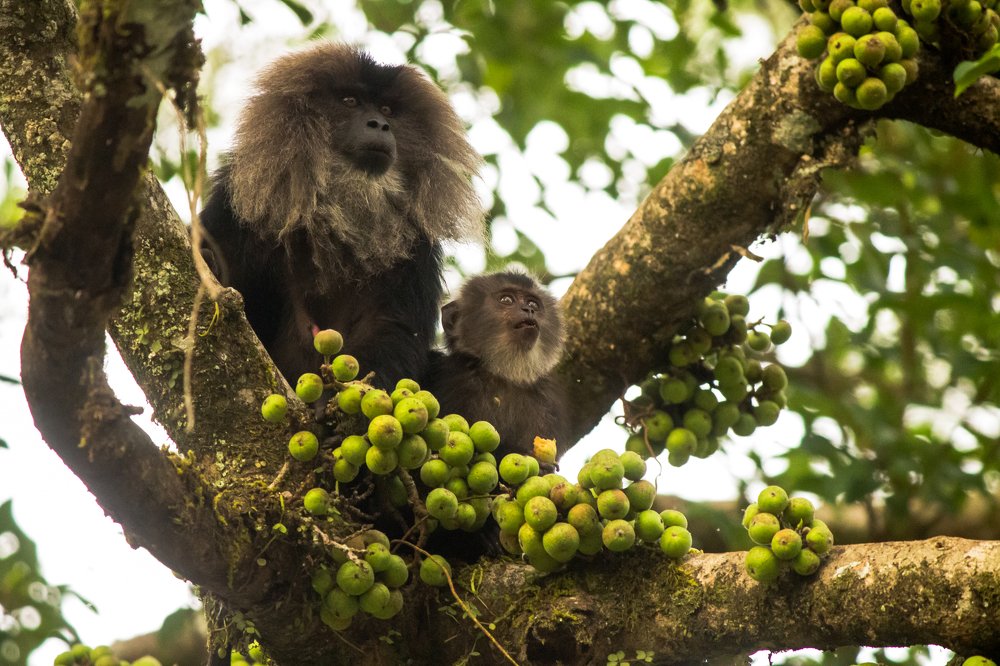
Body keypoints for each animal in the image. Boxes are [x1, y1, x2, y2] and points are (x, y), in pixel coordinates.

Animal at [199, 43, 483, 389]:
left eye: (387, 109)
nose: (379, 124)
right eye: (350, 101)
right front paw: (210, 264)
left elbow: (392, 329)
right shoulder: (240, 200)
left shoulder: (416, 243)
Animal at [423, 271, 569, 459]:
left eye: (533, 303)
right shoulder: (455, 376)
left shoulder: (547, 404)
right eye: (506, 300)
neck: (502, 375)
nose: (529, 309)